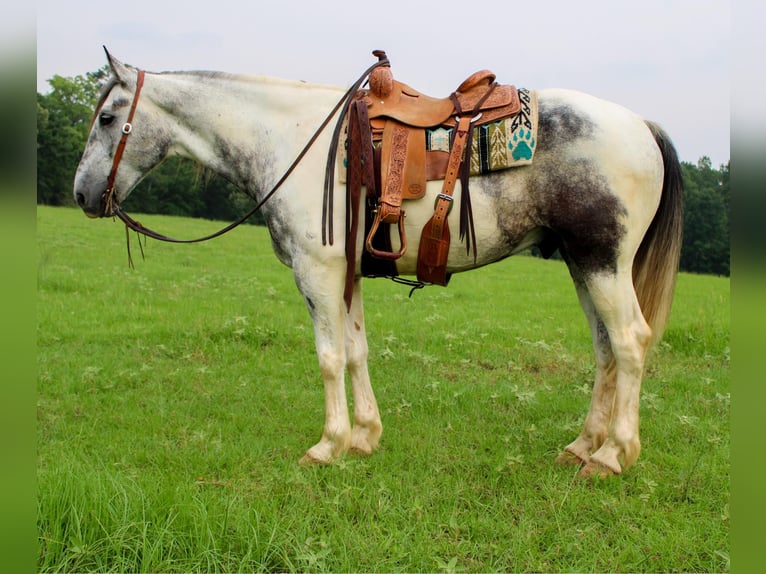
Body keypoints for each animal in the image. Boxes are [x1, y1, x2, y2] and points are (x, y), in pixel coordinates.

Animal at [73, 50, 683, 477]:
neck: (290, 138)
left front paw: (328, 446)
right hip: (584, 265)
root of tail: (643, 125)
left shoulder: (316, 271)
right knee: (605, 350)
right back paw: (581, 447)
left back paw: (611, 456)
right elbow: (356, 351)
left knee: (629, 341)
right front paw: (365, 436)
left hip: (603, 262)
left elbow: (328, 357)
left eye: (107, 118)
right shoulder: (347, 275)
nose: (81, 194)